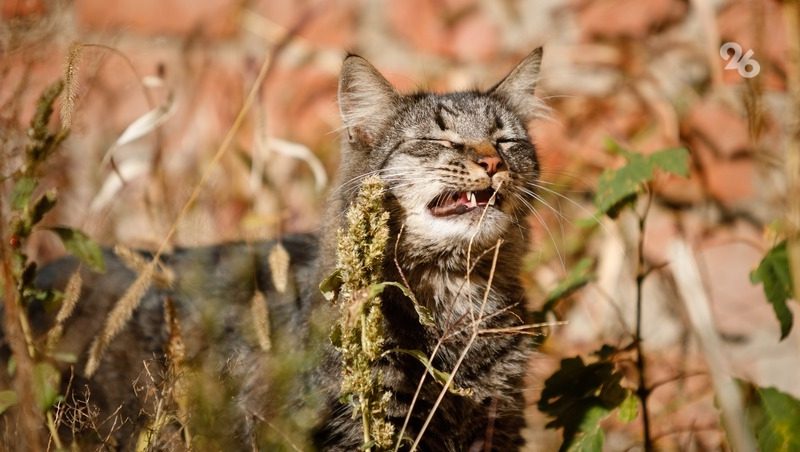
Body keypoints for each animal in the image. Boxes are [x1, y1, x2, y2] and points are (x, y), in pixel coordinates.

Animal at [3, 47, 544, 450]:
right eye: (441, 139)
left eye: (505, 140)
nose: (492, 162)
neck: (456, 301)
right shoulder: (361, 422)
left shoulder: (499, 423)